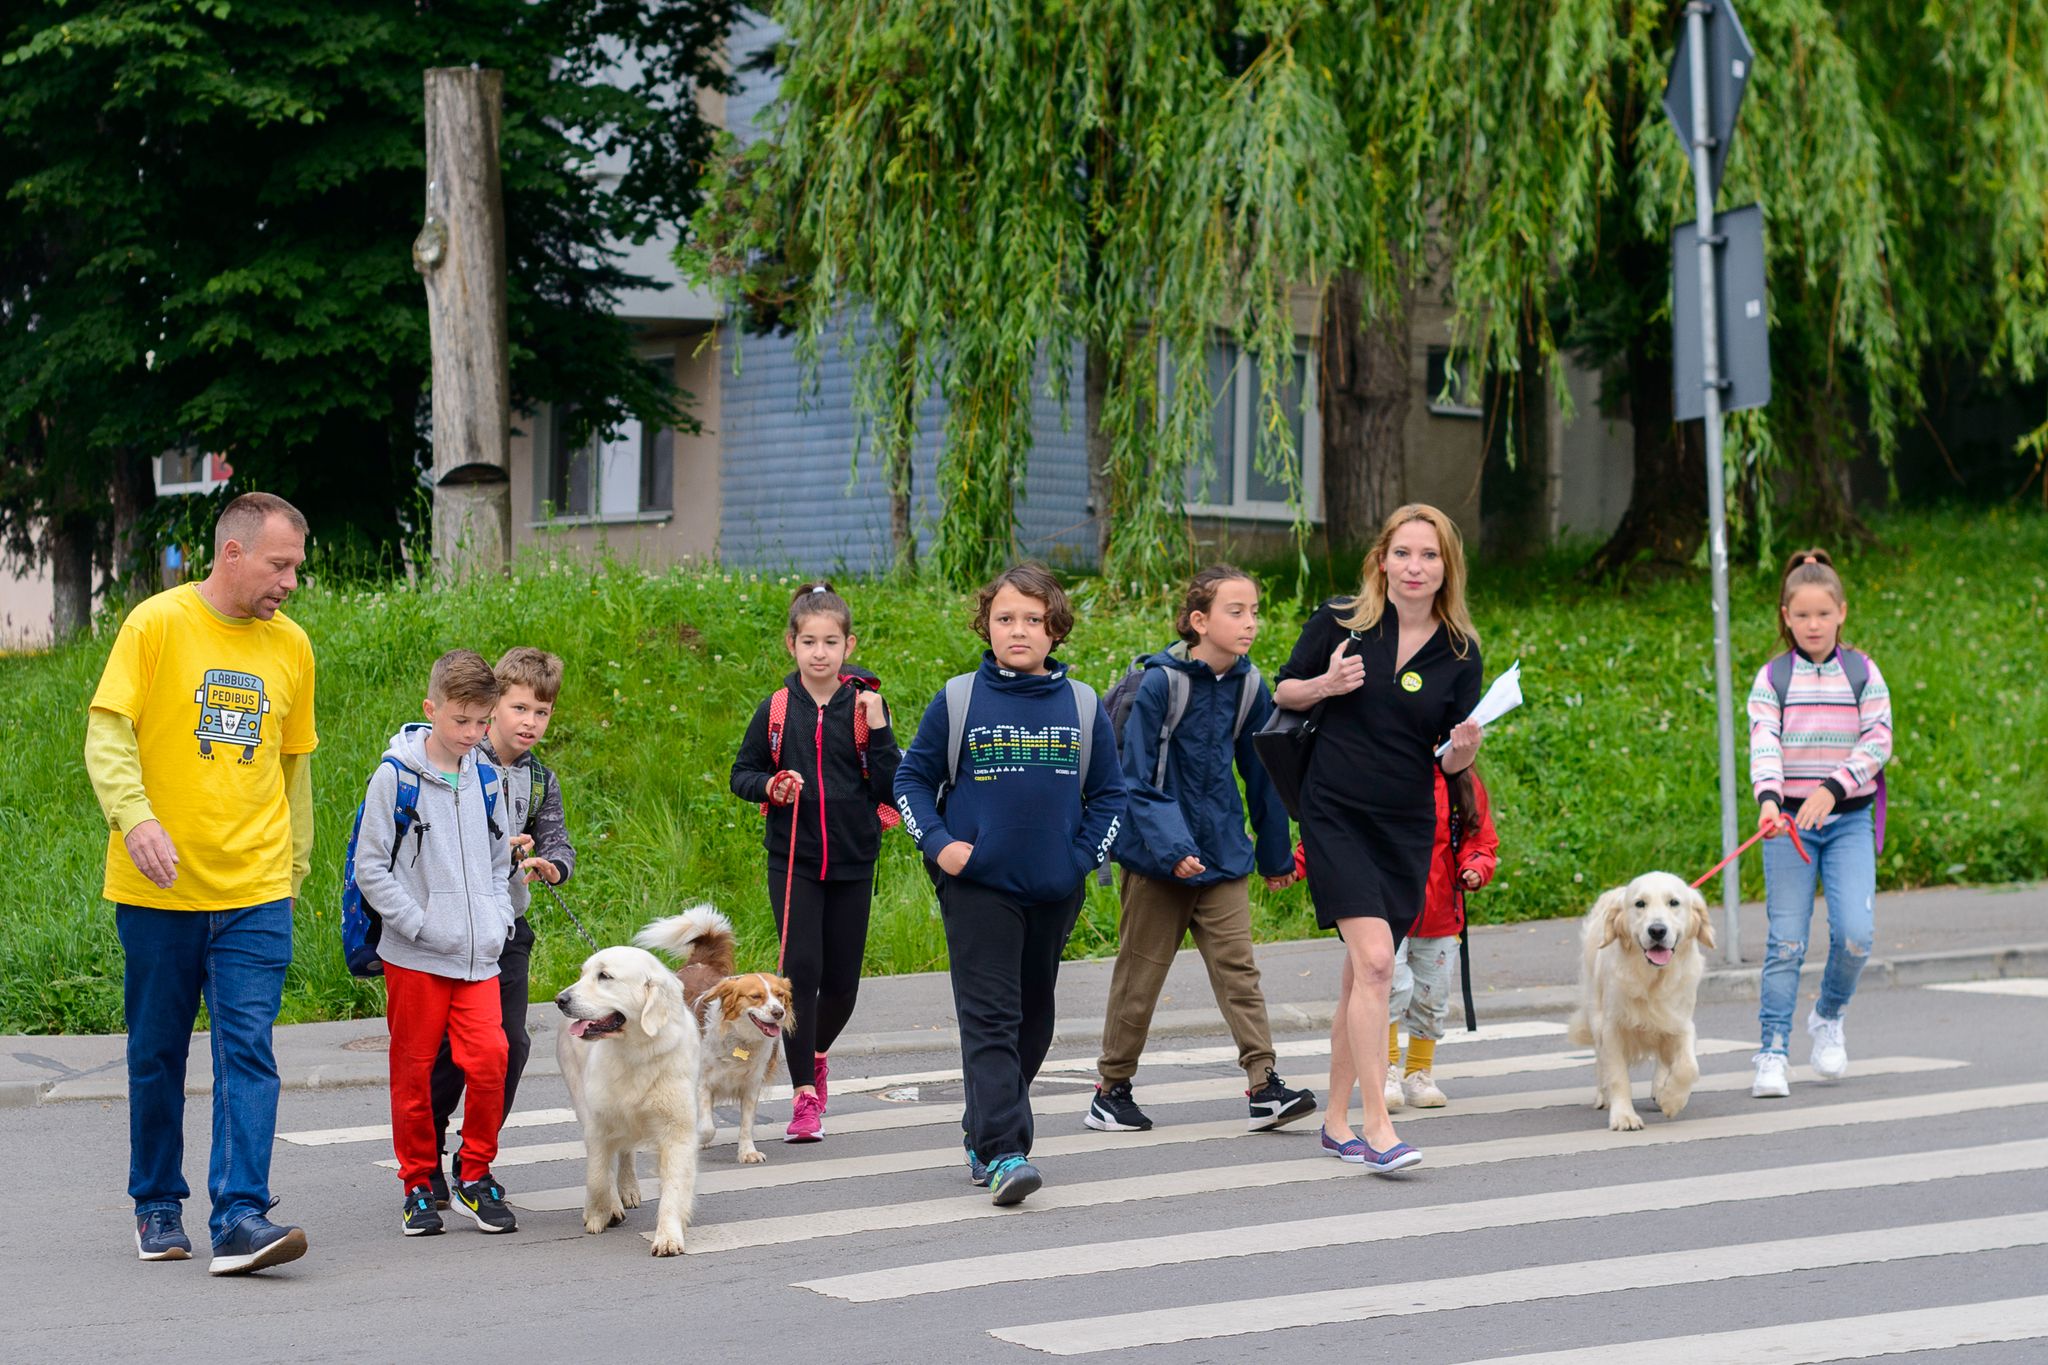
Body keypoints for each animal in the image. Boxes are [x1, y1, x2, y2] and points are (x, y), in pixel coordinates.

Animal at [557, 945, 700, 1252]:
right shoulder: (598, 1122)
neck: (637, 1053)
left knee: (626, 1152)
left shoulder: (678, 1129)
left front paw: (668, 1237)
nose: (560, 999)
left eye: (605, 976)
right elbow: (597, 1175)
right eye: (583, 974)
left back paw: (629, 1189)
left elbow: (674, 1186)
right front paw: (599, 1213)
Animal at [634, 908, 794, 1162]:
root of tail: (699, 963)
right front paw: (700, 1139)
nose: (778, 1012)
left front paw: (748, 1151)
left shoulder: (751, 1085)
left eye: (780, 995)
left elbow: (746, 1124)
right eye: (755, 996)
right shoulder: (702, 1082)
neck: (740, 1040)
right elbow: (707, 1126)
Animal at [1564, 875, 1712, 1129]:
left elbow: (1688, 1066)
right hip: (1595, 1009)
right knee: (1600, 1059)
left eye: (1674, 902)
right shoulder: (1611, 1027)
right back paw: (1603, 1095)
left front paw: (1671, 1099)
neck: (1652, 978)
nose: (1657, 930)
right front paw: (1624, 1116)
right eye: (1640, 904)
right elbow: (1617, 1075)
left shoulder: (1681, 1022)